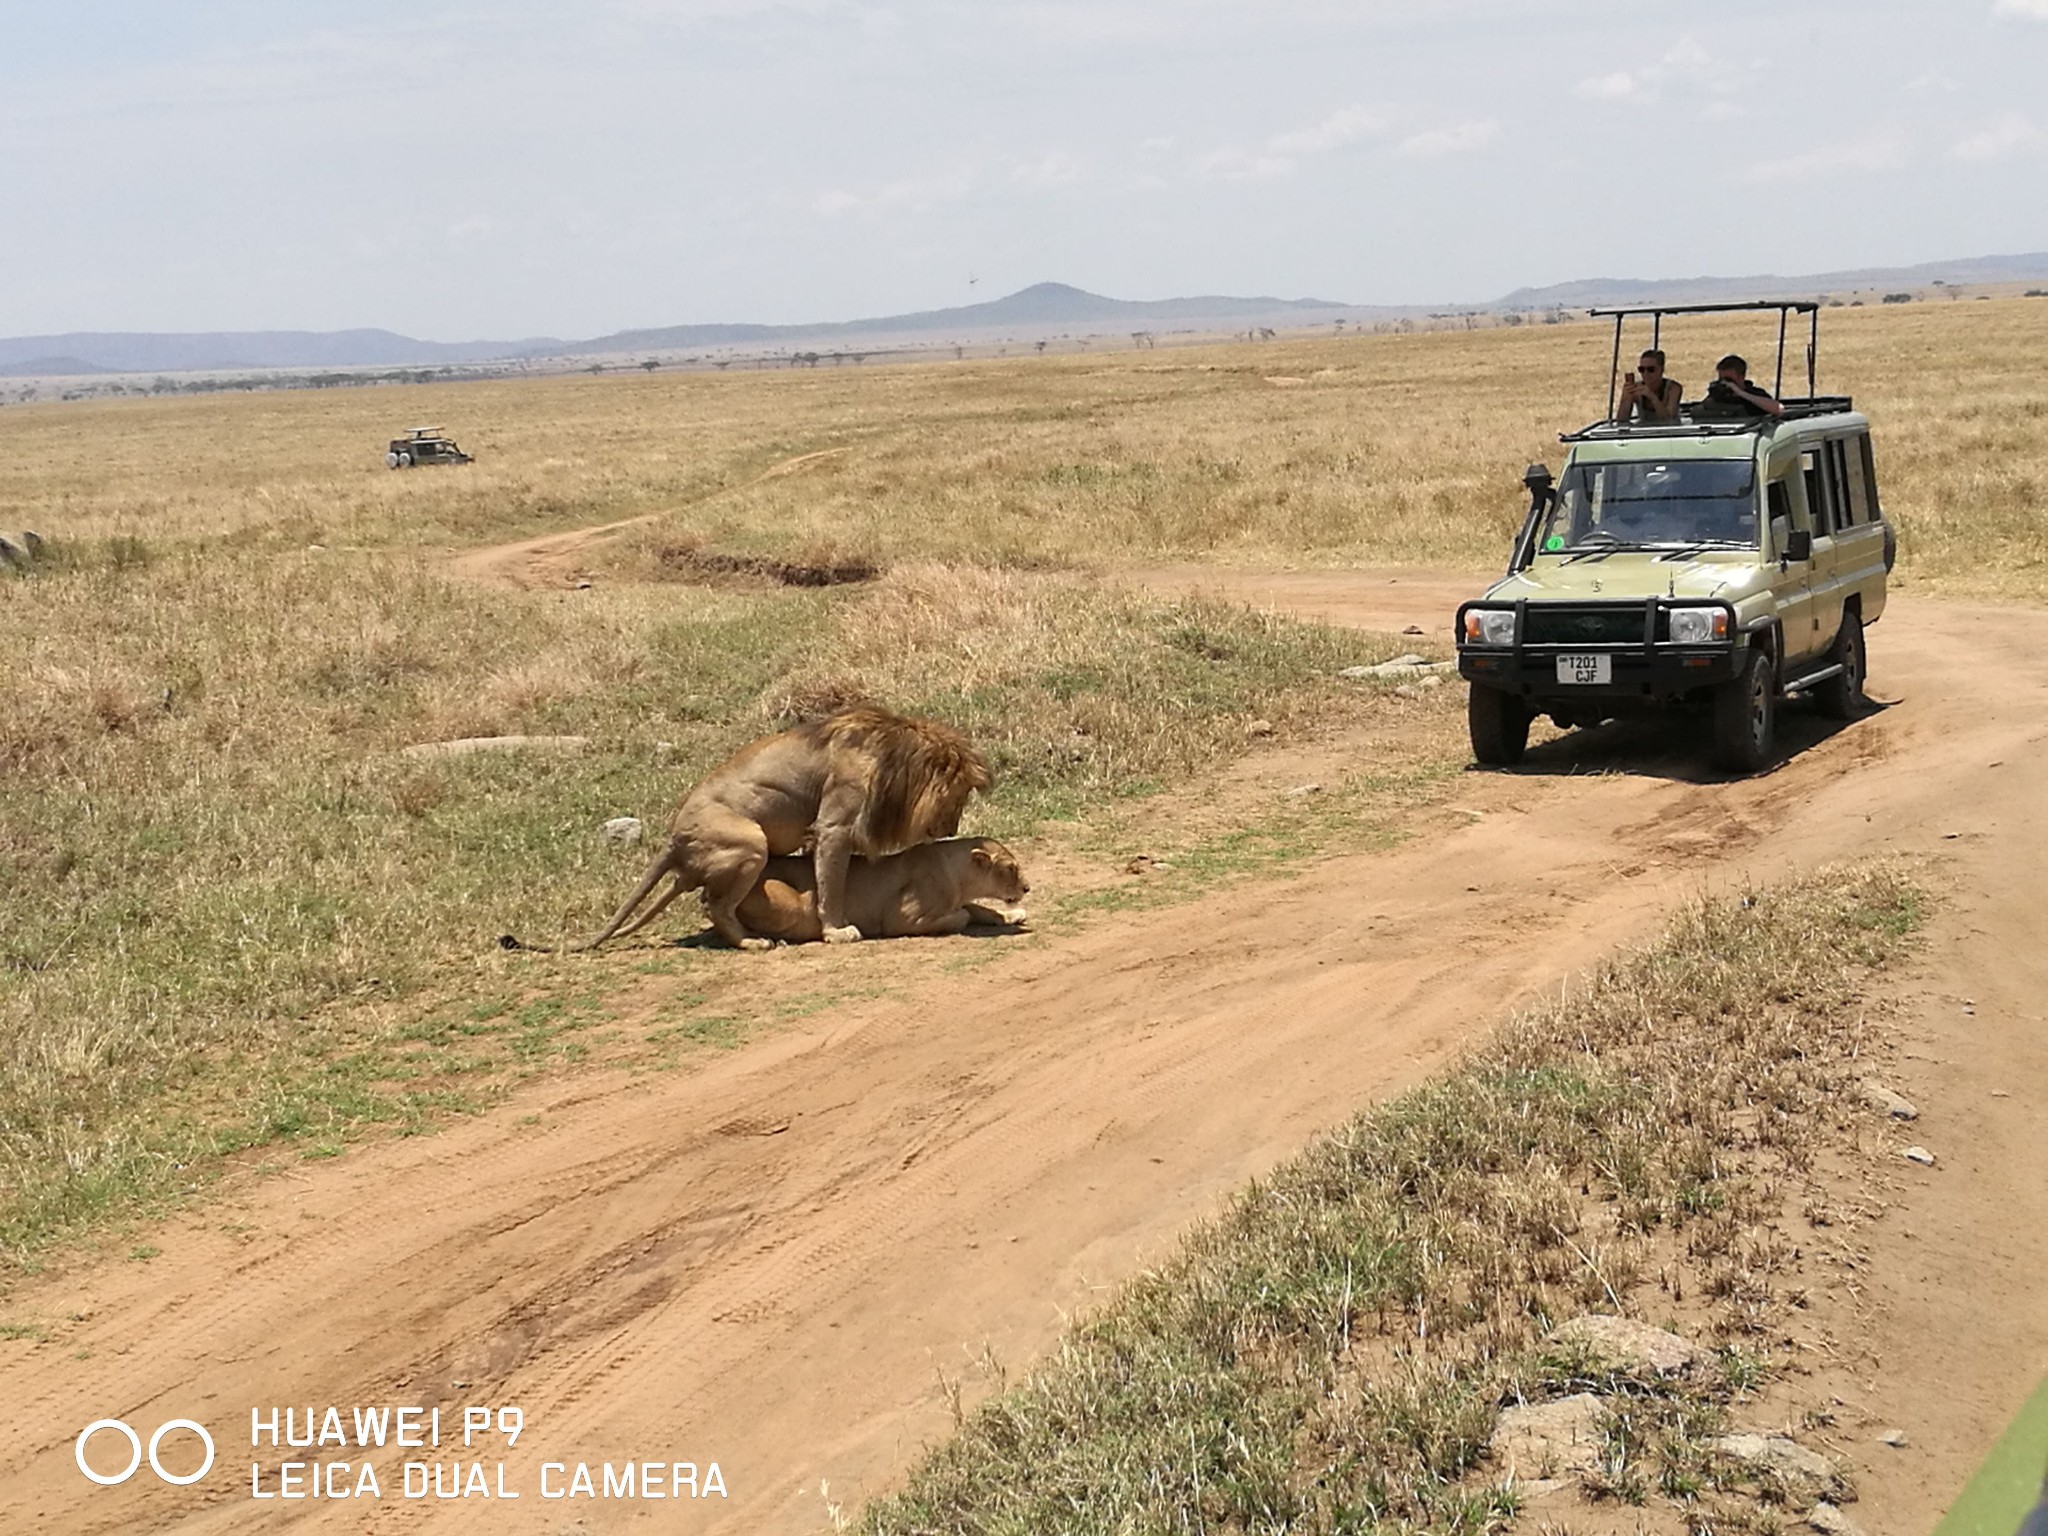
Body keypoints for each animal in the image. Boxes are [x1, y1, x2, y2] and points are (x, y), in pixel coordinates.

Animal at [509, 708, 991, 950]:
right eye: (958, 798)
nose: (952, 827)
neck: (892, 757)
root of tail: (673, 839)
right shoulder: (834, 826)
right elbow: (831, 885)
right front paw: (836, 931)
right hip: (750, 842)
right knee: (715, 904)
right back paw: (753, 942)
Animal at [737, 835, 1032, 946]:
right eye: (1011, 868)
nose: (1027, 888)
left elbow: (980, 908)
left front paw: (1011, 915)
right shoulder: (901, 918)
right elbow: (963, 915)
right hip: (793, 905)